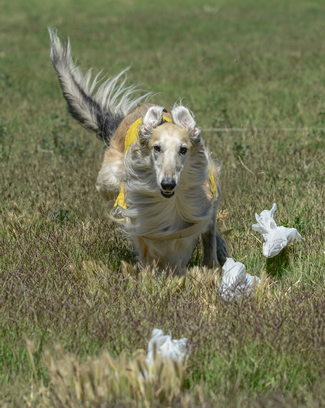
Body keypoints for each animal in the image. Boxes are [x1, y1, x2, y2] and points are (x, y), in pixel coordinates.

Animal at [48, 28, 228, 270]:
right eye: (156, 148)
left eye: (183, 150)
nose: (168, 184)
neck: (170, 201)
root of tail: (129, 114)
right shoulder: (137, 214)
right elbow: (146, 243)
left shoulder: (204, 199)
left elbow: (207, 231)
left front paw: (211, 265)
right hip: (110, 180)